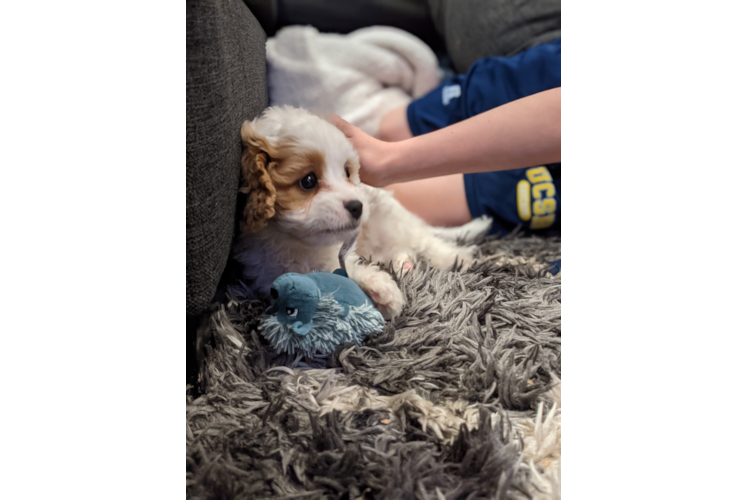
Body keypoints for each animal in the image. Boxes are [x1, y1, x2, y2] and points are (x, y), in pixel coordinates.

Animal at [231, 106, 494, 318]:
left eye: (347, 172)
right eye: (308, 181)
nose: (358, 206)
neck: (299, 243)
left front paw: (381, 289)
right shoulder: (267, 271)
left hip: (392, 219)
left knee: (425, 242)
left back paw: (456, 258)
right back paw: (404, 263)